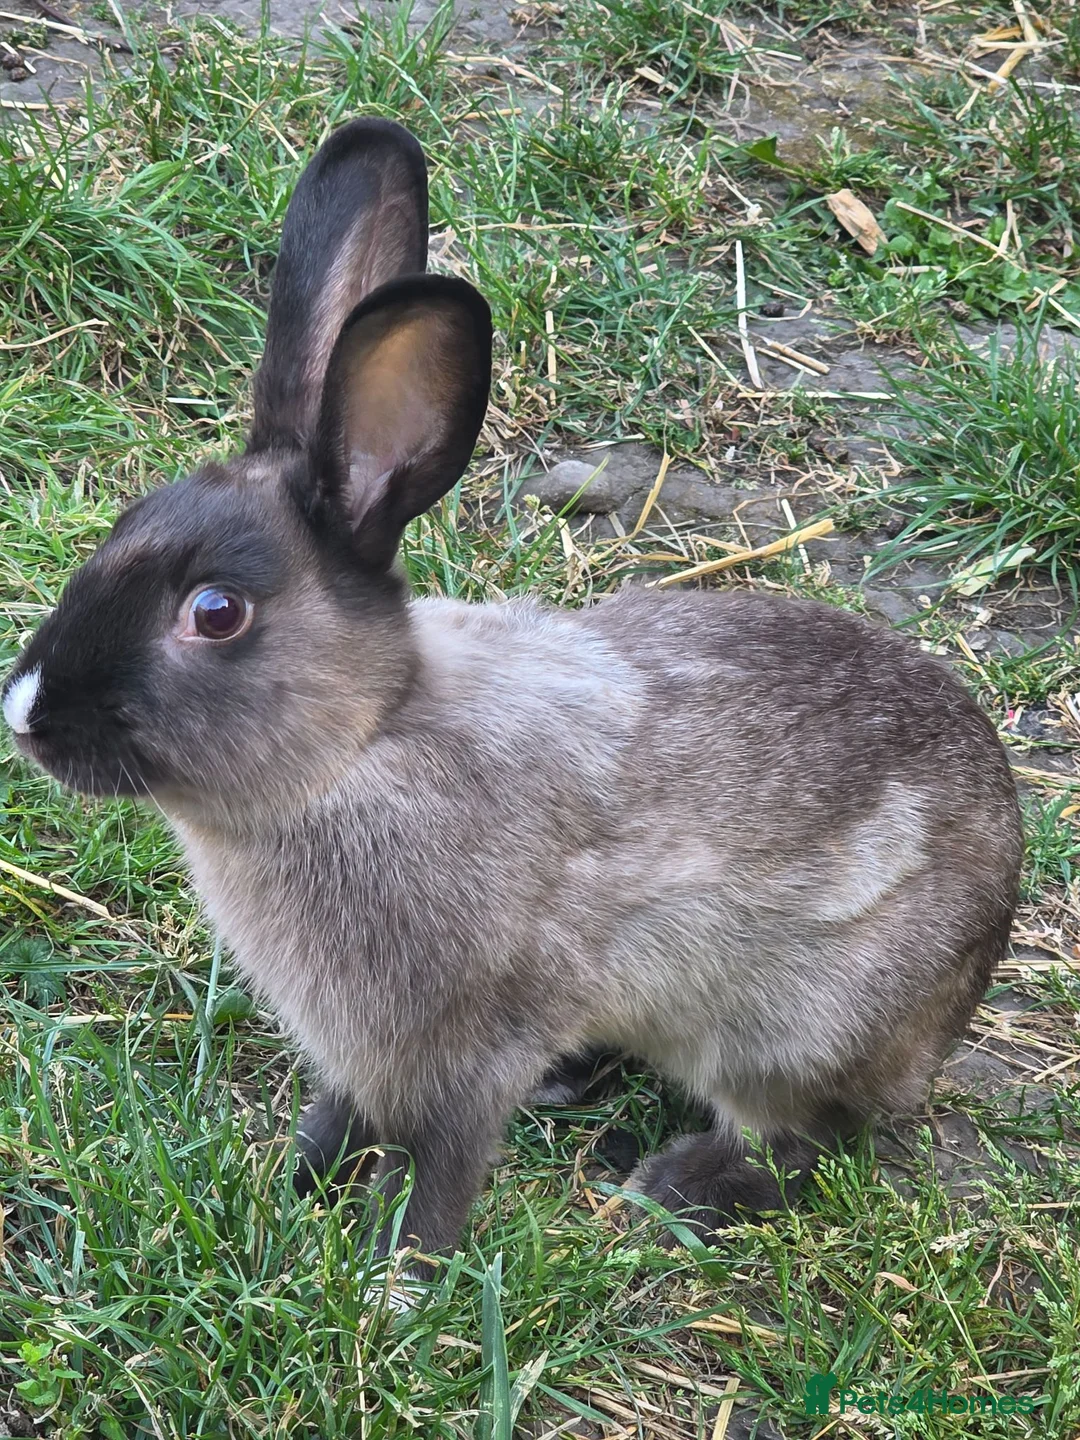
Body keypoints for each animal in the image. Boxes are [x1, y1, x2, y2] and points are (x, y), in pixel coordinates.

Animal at [3, 117, 1023, 1262]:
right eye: (124, 524)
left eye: (215, 613)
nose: (25, 713)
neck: (363, 746)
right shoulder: (364, 1052)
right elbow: (339, 1117)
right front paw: (298, 1187)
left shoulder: (463, 1053)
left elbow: (439, 1168)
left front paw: (397, 1271)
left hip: (796, 1032)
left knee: (807, 1139)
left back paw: (675, 1187)